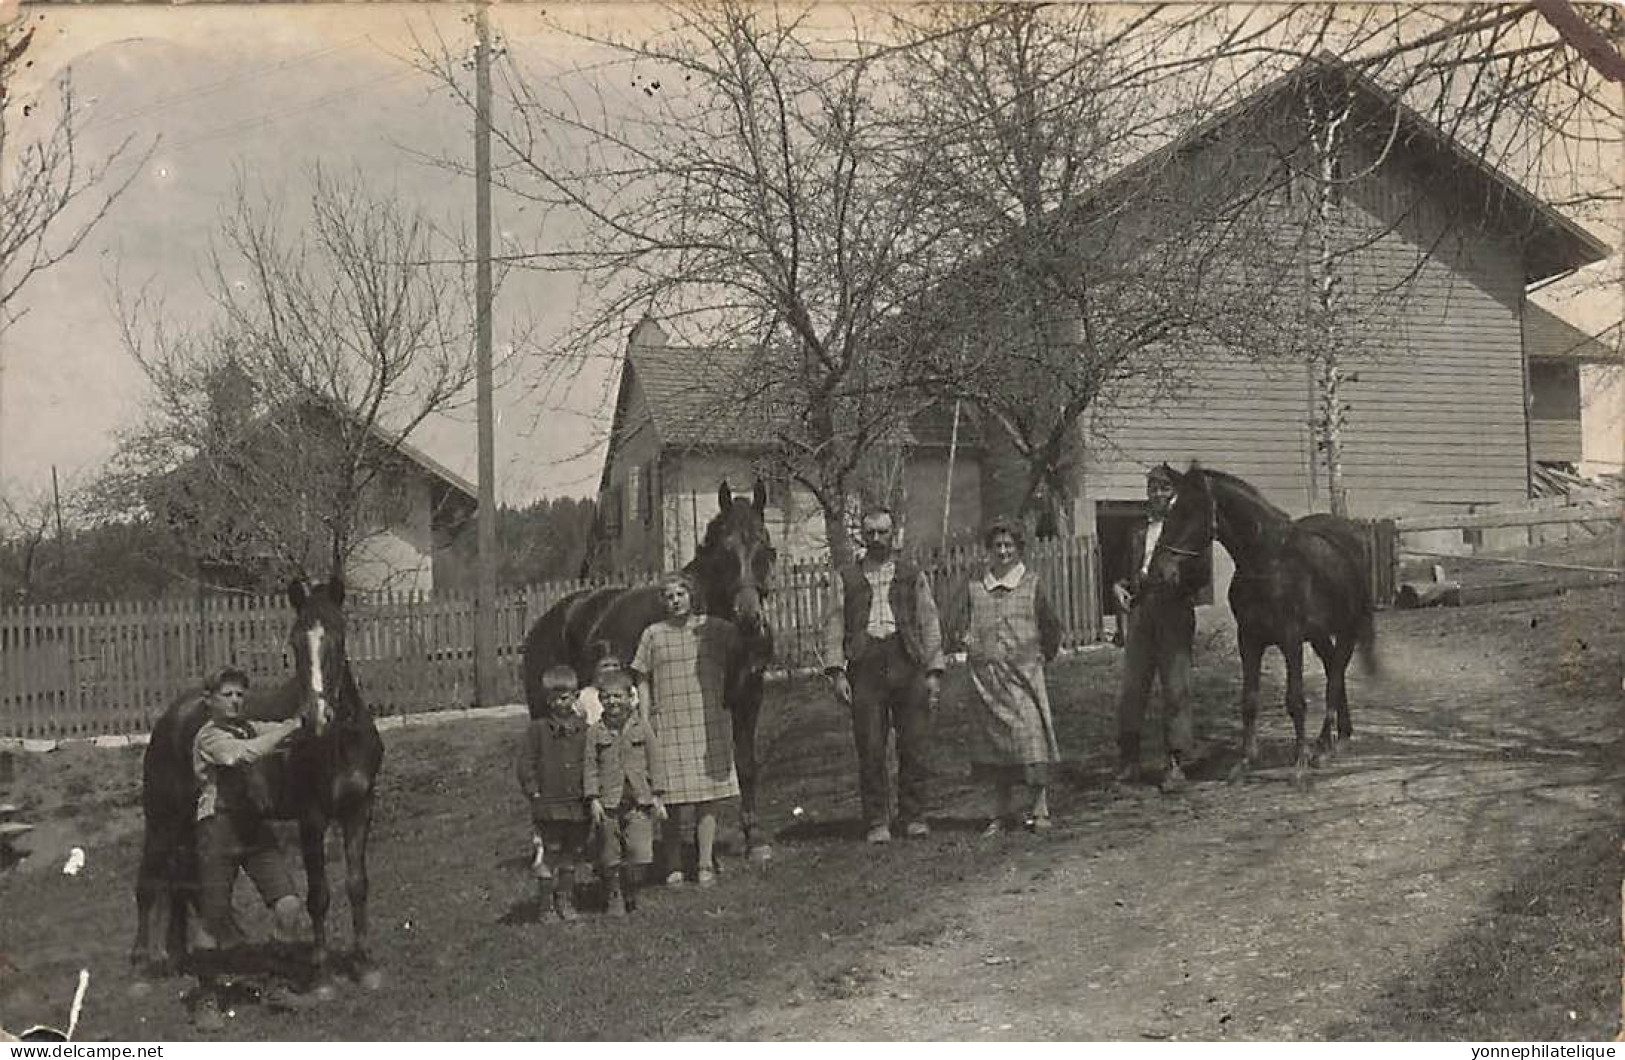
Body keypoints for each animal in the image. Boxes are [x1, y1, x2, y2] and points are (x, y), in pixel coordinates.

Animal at [132, 575, 386, 988]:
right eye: (295, 641)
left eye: (338, 635)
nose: (315, 717)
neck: (340, 742)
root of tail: (170, 718)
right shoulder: (312, 818)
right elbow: (319, 893)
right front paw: (321, 970)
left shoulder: (359, 810)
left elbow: (357, 884)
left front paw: (364, 964)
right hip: (162, 820)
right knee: (148, 883)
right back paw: (142, 963)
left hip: (186, 825)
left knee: (180, 884)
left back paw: (179, 957)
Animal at [520, 484, 773, 858]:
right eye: (725, 551)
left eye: (765, 547)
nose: (749, 618)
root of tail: (548, 620)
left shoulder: (750, 696)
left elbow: (747, 764)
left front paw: (754, 840)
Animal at [1150, 464, 1378, 786]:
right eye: (1170, 509)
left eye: (1190, 511)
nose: (1159, 571)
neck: (1268, 562)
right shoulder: (1248, 639)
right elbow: (1249, 700)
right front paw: (1244, 763)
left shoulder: (1290, 639)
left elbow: (1295, 700)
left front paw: (1299, 765)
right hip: (1319, 635)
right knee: (1333, 667)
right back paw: (1332, 740)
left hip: (1347, 629)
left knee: (1335, 677)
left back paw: (1326, 747)